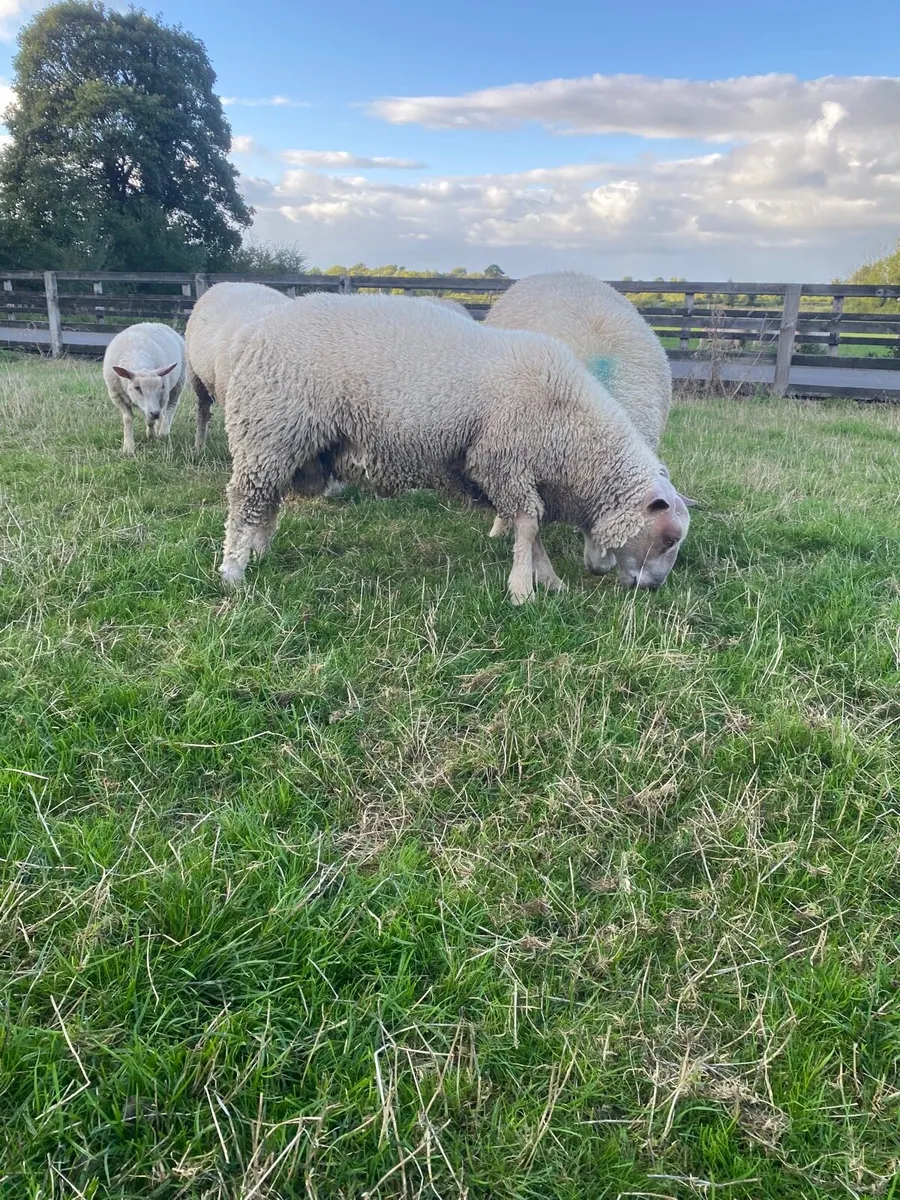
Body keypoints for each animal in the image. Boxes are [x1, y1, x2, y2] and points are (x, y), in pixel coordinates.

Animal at [102, 322, 186, 455]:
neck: (137, 359)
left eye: (162, 386)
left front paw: (151, 436)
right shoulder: (118, 398)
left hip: (179, 382)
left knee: (170, 407)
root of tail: (155, 323)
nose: (155, 413)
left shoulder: (161, 397)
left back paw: (163, 432)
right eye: (137, 387)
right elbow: (128, 419)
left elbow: (150, 419)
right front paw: (128, 447)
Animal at [217, 293, 691, 603]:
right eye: (669, 538)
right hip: (269, 431)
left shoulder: (520, 473)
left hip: (284, 443)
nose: (653, 589)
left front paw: (547, 580)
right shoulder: (502, 460)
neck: (571, 430)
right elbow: (528, 525)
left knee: (267, 502)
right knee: (244, 502)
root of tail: (252, 332)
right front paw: (524, 590)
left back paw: (258, 554)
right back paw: (233, 571)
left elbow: (532, 529)